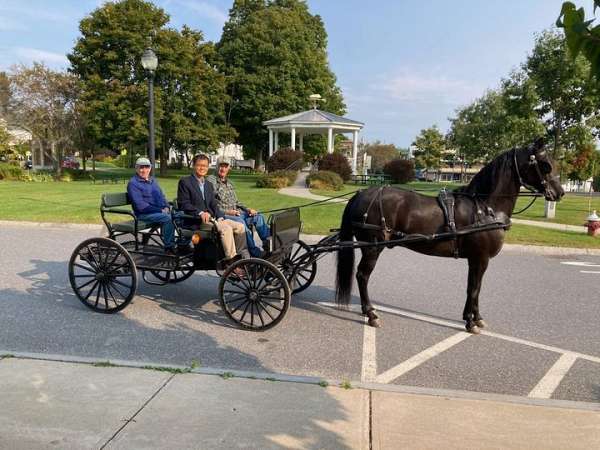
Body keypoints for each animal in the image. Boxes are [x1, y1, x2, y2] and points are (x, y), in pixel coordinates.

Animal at [336, 139, 564, 332]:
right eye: (545, 165)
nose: (559, 192)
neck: (485, 207)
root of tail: (360, 194)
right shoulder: (480, 258)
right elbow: (474, 289)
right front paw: (471, 322)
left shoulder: (476, 259)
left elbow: (474, 288)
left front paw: (475, 318)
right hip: (373, 247)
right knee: (362, 276)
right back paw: (371, 314)